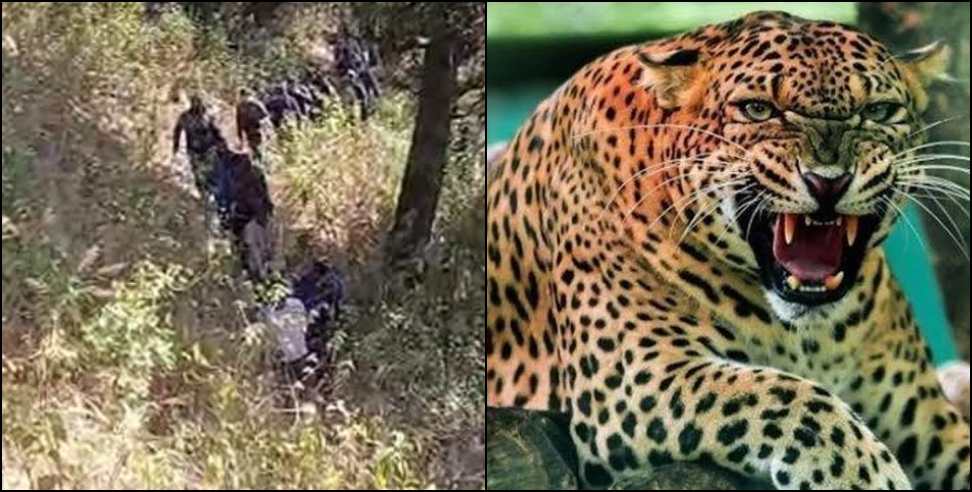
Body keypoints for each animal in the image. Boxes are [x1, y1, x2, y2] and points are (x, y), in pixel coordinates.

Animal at [486, 11, 970, 490]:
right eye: (758, 109)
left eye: (878, 111)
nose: (828, 180)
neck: (810, 336)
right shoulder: (632, 379)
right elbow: (790, 397)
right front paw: (865, 477)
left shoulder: (926, 418)